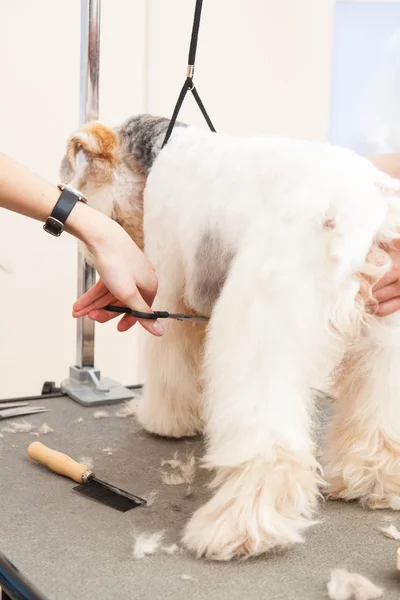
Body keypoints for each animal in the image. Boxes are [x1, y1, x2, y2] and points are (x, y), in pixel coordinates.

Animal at [61, 115, 400, 560]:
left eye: (82, 181)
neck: (163, 147)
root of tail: (359, 209)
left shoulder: (169, 290)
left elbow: (171, 365)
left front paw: (168, 420)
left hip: (262, 327)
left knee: (269, 446)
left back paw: (239, 528)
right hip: (384, 331)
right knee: (379, 417)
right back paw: (374, 480)